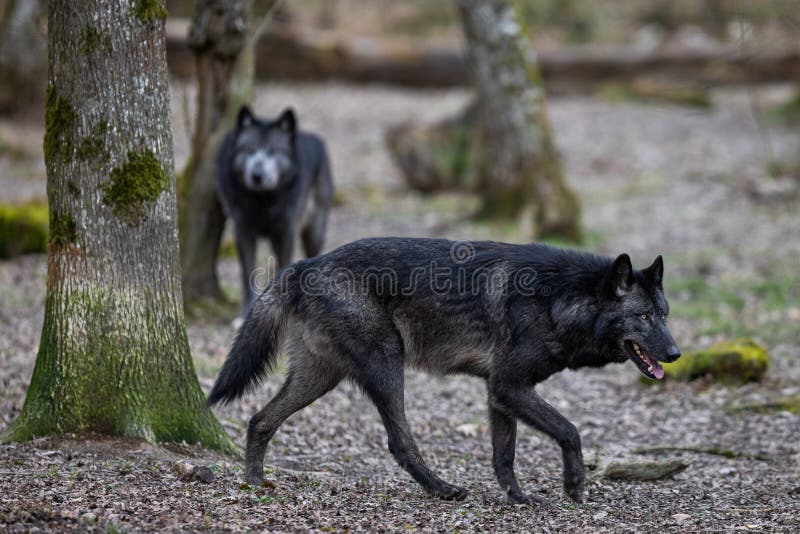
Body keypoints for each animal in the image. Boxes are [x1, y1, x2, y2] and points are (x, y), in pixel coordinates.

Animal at [207, 238, 681, 504]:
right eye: (642, 318)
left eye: (664, 314)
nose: (676, 353)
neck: (559, 298)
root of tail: (305, 264)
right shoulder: (510, 386)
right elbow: (570, 430)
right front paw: (574, 485)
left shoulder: (499, 393)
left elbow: (504, 455)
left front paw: (517, 498)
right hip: (386, 366)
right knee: (399, 442)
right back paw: (443, 490)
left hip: (319, 378)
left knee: (259, 419)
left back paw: (254, 483)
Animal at [217, 105, 334, 317]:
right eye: (249, 150)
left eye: (272, 152)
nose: (257, 175)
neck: (263, 200)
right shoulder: (243, 231)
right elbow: (247, 274)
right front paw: (245, 312)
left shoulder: (286, 231)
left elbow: (284, 265)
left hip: (314, 233)